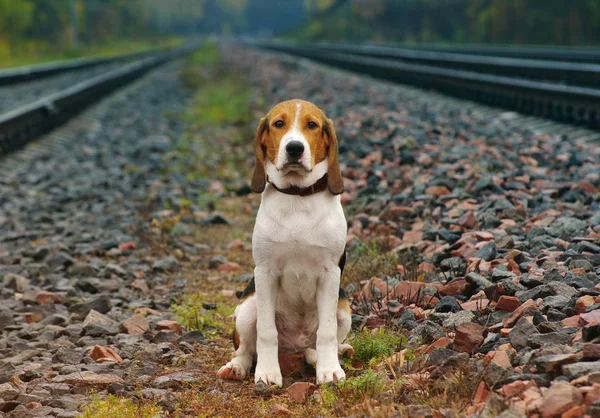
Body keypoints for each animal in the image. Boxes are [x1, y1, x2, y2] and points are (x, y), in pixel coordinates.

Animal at [217, 99, 352, 386]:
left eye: (312, 125)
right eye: (279, 123)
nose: (294, 148)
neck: (297, 196)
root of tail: (294, 347)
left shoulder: (330, 274)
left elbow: (326, 332)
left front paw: (329, 371)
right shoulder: (265, 272)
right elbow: (267, 332)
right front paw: (268, 373)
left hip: (344, 305)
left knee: (322, 341)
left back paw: (333, 353)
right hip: (247, 306)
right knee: (245, 349)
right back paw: (236, 367)